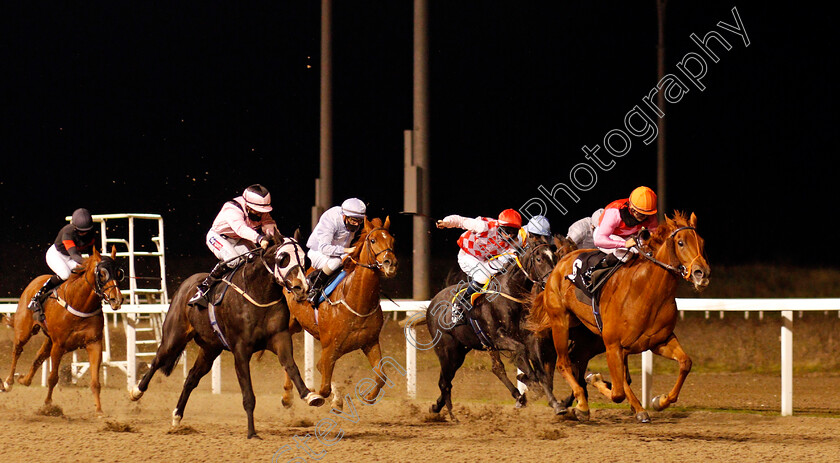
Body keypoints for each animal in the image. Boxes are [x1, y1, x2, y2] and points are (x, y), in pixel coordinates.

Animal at [0, 246, 124, 414]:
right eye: (102, 273)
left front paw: (99, 410)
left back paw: (24, 379)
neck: (80, 304)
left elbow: (95, 382)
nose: (116, 299)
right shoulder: (59, 345)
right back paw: (8, 382)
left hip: (49, 340)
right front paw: (48, 405)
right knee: (17, 351)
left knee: (38, 357)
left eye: (118, 273)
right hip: (24, 331)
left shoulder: (94, 343)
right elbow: (53, 378)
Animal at [130, 234, 324, 440]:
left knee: (191, 378)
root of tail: (187, 284)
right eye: (283, 258)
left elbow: (291, 366)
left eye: (304, 259)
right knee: (157, 360)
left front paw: (310, 395)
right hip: (174, 336)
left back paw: (176, 416)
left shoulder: (280, 338)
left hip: (210, 349)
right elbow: (248, 394)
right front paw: (251, 432)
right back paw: (136, 391)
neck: (258, 293)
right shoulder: (240, 350)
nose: (301, 288)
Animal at [282, 218, 398, 410]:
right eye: (373, 240)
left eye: (392, 241)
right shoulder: (330, 347)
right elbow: (323, 388)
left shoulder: (370, 342)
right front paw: (315, 395)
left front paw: (368, 397)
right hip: (289, 326)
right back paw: (287, 396)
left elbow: (381, 376)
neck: (357, 301)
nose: (391, 263)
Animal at [424, 237, 560, 422]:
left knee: (490, 370)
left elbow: (541, 371)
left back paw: (437, 407)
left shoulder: (528, 337)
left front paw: (556, 404)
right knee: (445, 382)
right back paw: (452, 415)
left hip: (461, 351)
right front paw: (529, 381)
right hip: (447, 351)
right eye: (539, 259)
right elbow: (521, 353)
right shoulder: (498, 338)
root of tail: (432, 304)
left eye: (555, 257)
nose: (552, 281)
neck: (510, 292)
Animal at [532, 212, 708, 422]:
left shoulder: (659, 341)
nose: (702, 273)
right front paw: (595, 382)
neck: (647, 292)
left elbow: (685, 363)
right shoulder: (613, 345)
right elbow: (617, 393)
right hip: (560, 322)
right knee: (562, 363)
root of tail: (560, 263)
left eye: (702, 242)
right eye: (681, 242)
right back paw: (580, 405)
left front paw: (659, 401)